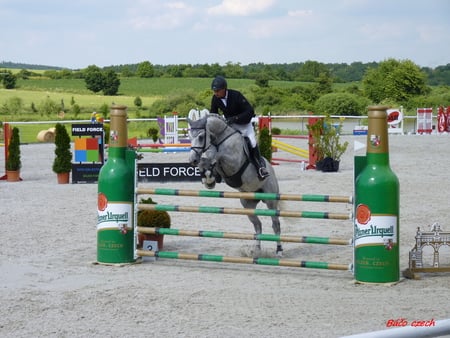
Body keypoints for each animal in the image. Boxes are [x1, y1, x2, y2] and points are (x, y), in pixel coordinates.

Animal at [186, 109, 282, 255]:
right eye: (190, 136)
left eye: (201, 137)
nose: (192, 160)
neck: (219, 140)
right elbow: (207, 162)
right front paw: (208, 179)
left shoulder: (233, 162)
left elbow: (217, 156)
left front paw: (209, 172)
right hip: (247, 204)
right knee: (257, 225)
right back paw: (256, 250)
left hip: (270, 200)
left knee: (275, 224)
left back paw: (279, 250)